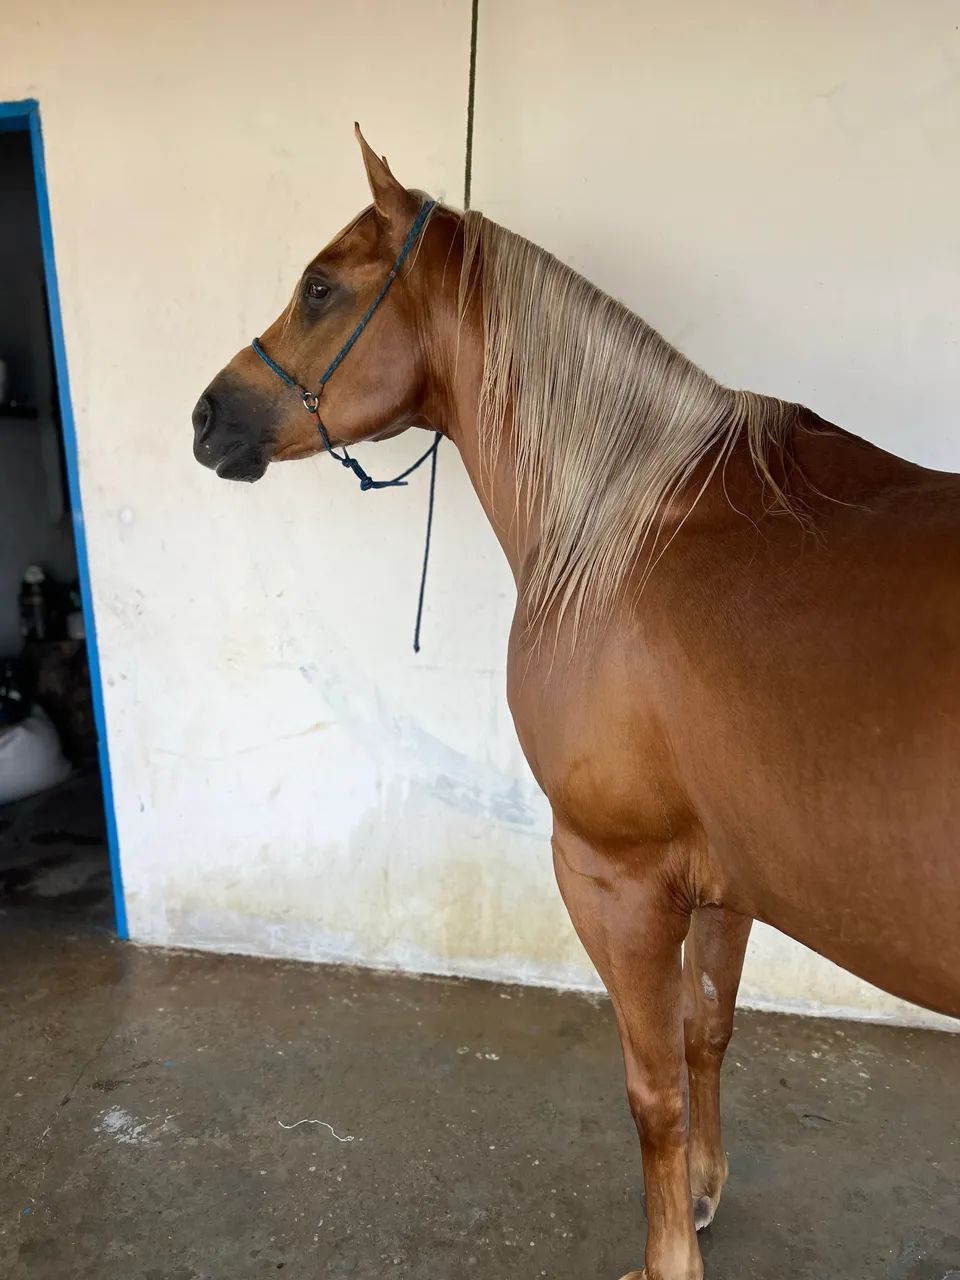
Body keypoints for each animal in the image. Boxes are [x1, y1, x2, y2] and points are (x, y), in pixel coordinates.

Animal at [192, 126, 960, 1280]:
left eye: (321, 286)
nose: (205, 418)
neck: (633, 524)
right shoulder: (725, 881)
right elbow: (707, 1036)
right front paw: (704, 1192)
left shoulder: (617, 874)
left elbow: (652, 1089)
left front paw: (664, 1256)